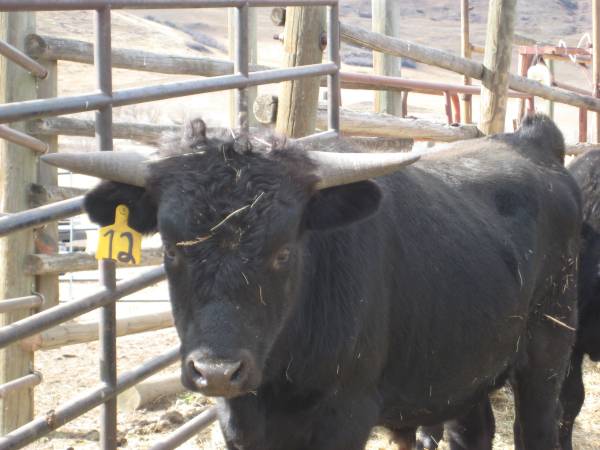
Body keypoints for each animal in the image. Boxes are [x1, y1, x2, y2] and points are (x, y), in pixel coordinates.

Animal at [84, 114, 580, 448]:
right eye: (171, 249)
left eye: (284, 251)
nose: (218, 371)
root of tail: (531, 141)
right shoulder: (239, 421)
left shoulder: (345, 415)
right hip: (467, 364)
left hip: (548, 352)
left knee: (538, 425)